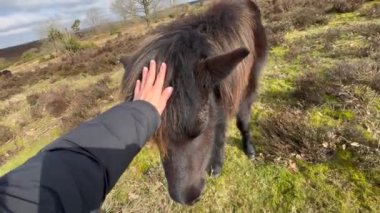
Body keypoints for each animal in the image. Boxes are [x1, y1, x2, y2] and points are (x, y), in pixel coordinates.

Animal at [121, 0, 268, 205]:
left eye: (199, 130)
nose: (185, 199)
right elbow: (219, 129)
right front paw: (216, 164)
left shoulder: (246, 90)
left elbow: (242, 122)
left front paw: (249, 149)